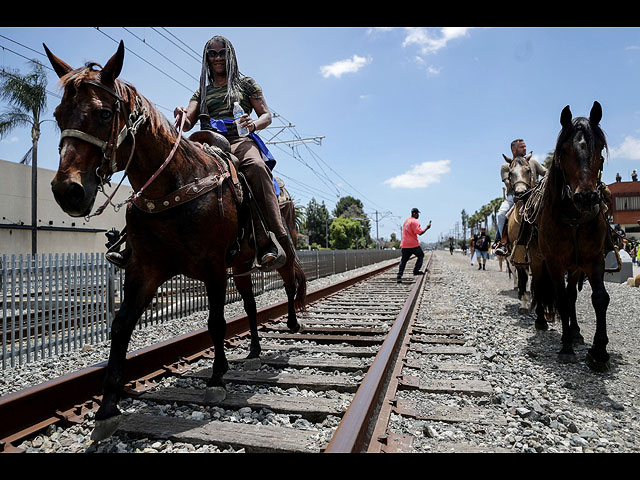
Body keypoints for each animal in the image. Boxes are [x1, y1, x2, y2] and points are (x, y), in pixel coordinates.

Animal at [43, 41, 306, 438]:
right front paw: (107, 407)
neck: (176, 185)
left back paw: (291, 324)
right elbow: (121, 327)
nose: (67, 191)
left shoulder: (213, 266)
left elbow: (216, 321)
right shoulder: (144, 269)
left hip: (279, 247)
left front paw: (216, 379)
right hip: (241, 263)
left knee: (290, 283)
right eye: (59, 115)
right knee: (250, 304)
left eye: (104, 114)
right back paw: (254, 349)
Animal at [528, 100, 612, 372]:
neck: (573, 217)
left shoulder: (593, 259)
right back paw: (542, 321)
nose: (586, 197)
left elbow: (599, 298)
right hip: (538, 260)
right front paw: (565, 348)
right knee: (539, 286)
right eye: (564, 150)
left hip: (575, 266)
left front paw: (599, 351)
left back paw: (575, 331)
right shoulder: (554, 262)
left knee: (573, 294)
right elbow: (562, 300)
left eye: (600, 149)